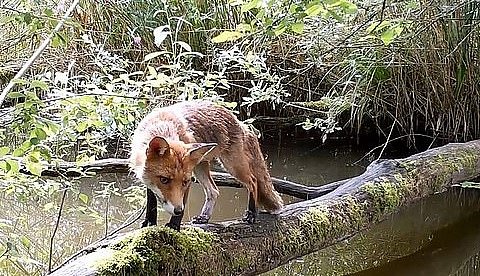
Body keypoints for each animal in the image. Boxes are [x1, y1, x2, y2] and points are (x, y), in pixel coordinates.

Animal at [129, 100, 284, 230]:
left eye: (184, 182)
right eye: (164, 180)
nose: (178, 210)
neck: (162, 125)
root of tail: (239, 121)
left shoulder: (189, 180)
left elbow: (180, 202)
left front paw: (174, 226)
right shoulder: (148, 178)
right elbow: (151, 202)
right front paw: (150, 222)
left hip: (232, 165)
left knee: (253, 181)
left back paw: (251, 213)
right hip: (200, 166)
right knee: (214, 191)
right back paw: (204, 217)